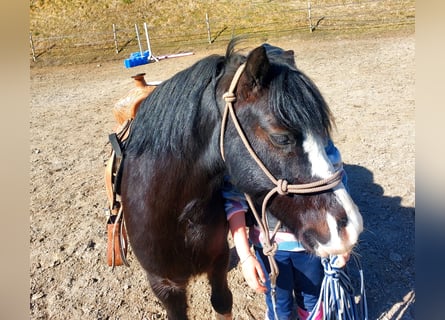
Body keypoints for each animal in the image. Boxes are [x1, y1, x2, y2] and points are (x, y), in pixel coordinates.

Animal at [119, 40, 362, 320]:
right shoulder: (164, 284)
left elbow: (222, 302)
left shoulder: (218, 262)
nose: (350, 227)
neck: (176, 213)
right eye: (281, 137)